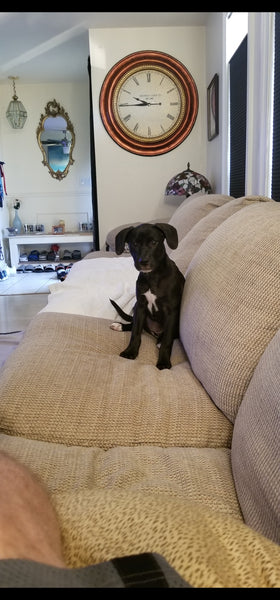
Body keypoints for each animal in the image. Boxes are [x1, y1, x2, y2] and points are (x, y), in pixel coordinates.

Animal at [110, 221, 186, 368]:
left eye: (154, 242)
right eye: (134, 244)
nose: (143, 261)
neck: (152, 277)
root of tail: (155, 332)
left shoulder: (171, 311)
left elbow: (168, 340)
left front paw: (164, 362)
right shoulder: (140, 306)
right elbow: (135, 332)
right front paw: (130, 351)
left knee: (169, 336)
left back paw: (160, 340)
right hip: (136, 308)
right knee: (133, 325)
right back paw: (120, 326)